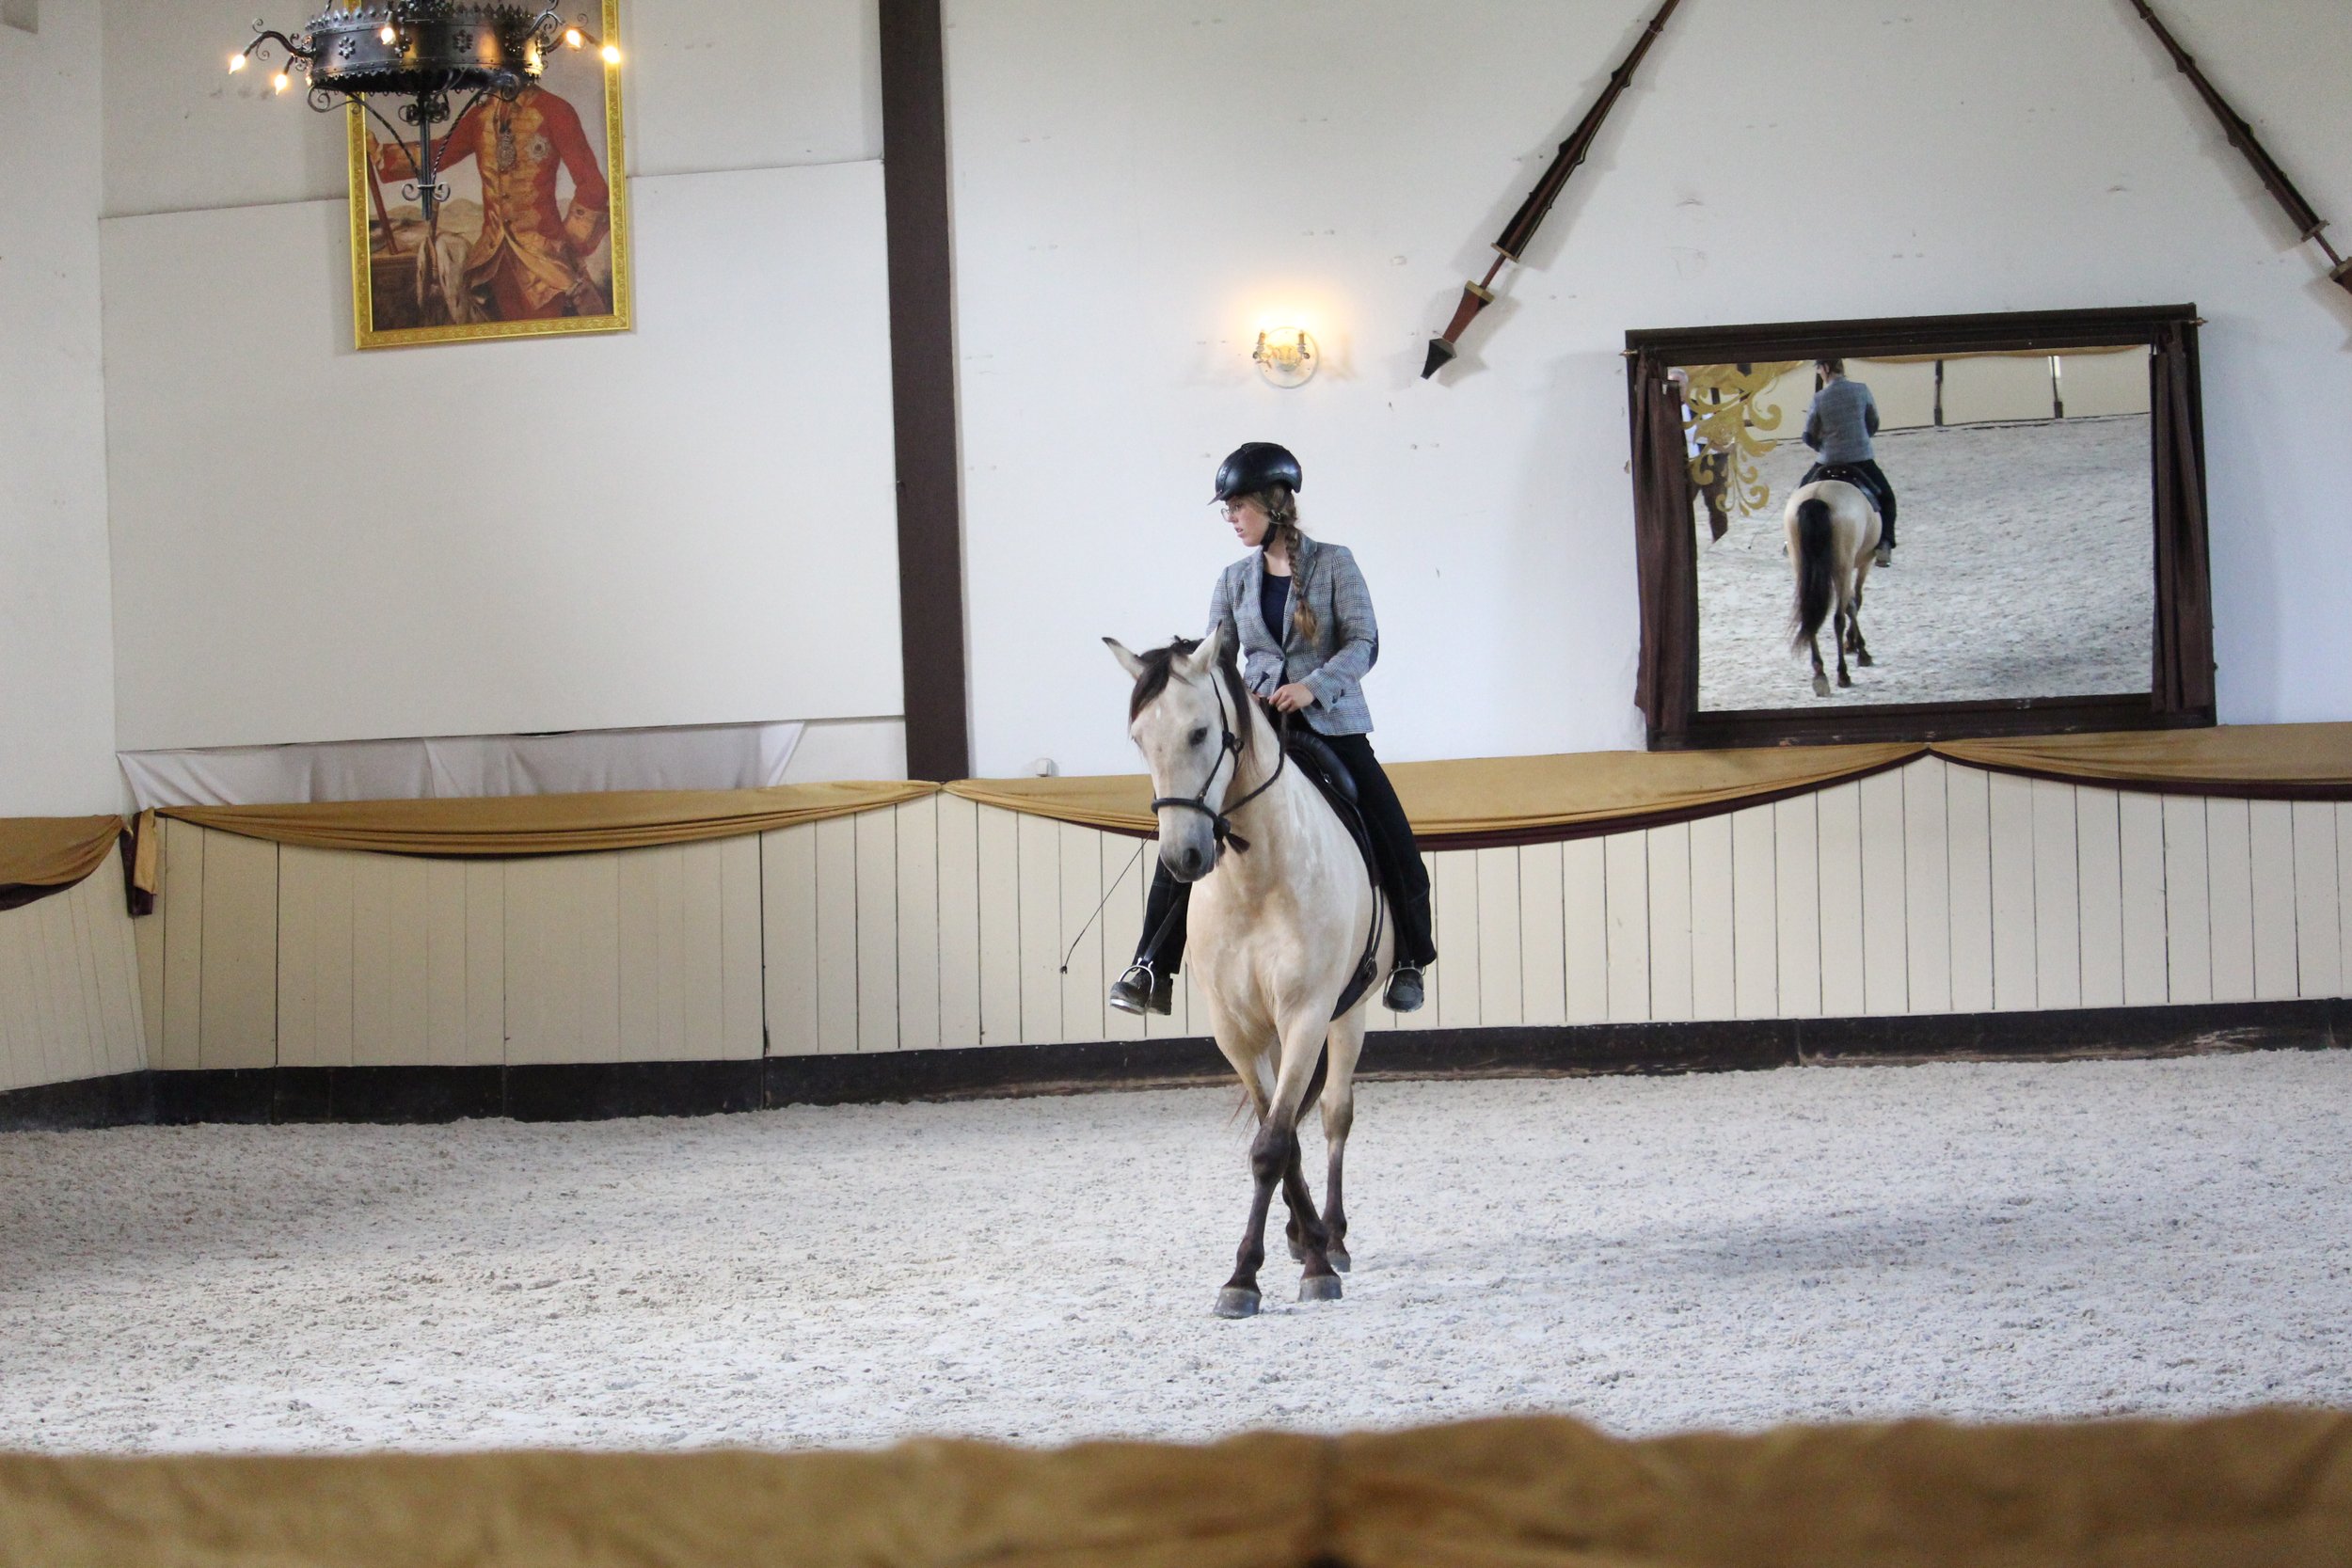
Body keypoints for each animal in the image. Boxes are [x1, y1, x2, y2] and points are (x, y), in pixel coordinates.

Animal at [1105, 624, 1391, 1319]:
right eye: (1141, 740)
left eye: (1200, 732)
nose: (1183, 857)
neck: (1256, 879)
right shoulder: (1237, 1031)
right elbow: (1276, 1139)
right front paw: (1272, 1258)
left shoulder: (1307, 1014)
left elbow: (1275, 1143)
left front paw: (1288, 1269)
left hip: (1349, 1014)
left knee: (1335, 1114)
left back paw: (1334, 1237)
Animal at [1785, 478, 1883, 698]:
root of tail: (1816, 497)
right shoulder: (1863, 563)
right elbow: (1854, 603)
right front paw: (1859, 648)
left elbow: (1850, 605)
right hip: (1843, 567)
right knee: (1838, 618)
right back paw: (1843, 674)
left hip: (1802, 567)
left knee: (1810, 615)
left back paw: (1820, 674)